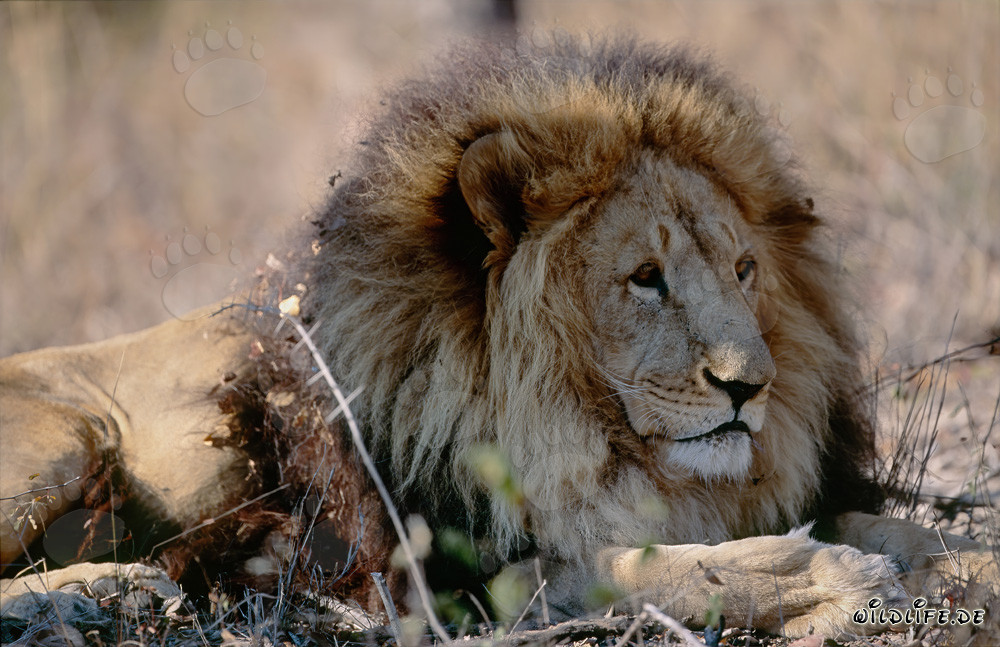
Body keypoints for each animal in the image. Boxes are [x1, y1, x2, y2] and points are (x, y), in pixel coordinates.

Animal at [1, 35, 996, 638]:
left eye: (746, 270)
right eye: (646, 277)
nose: (751, 385)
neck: (581, 435)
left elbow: (897, 526)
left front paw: (959, 562)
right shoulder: (455, 576)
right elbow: (644, 569)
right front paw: (829, 582)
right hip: (62, 435)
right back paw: (110, 586)